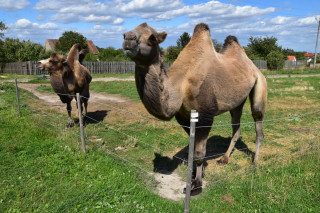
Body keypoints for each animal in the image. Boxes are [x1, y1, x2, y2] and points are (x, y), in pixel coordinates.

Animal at [122, 22, 268, 195]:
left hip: (260, 85)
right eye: (124, 34)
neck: (181, 84)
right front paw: (196, 174)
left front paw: (196, 185)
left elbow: (199, 153)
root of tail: (253, 66)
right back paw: (224, 159)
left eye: (152, 38)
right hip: (237, 101)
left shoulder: (206, 115)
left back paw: (254, 162)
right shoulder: (184, 117)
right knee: (236, 127)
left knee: (258, 123)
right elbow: (192, 150)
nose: (128, 39)